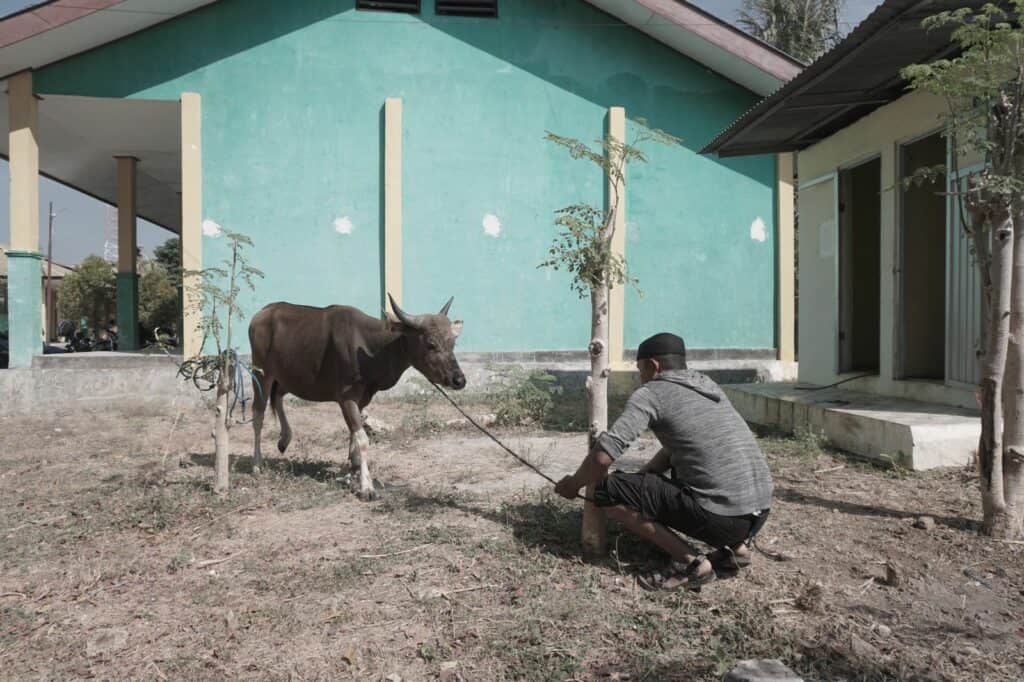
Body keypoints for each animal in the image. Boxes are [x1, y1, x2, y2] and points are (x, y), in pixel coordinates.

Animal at [249, 292, 466, 499]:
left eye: (453, 342)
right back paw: (257, 465)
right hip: (261, 374)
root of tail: (261, 314)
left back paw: (284, 439)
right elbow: (362, 439)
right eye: (431, 344)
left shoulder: (361, 400)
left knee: (278, 397)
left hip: (287, 377)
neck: (371, 350)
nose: (459, 380)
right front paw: (366, 486)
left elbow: (353, 436)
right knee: (258, 415)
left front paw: (351, 472)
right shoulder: (346, 398)